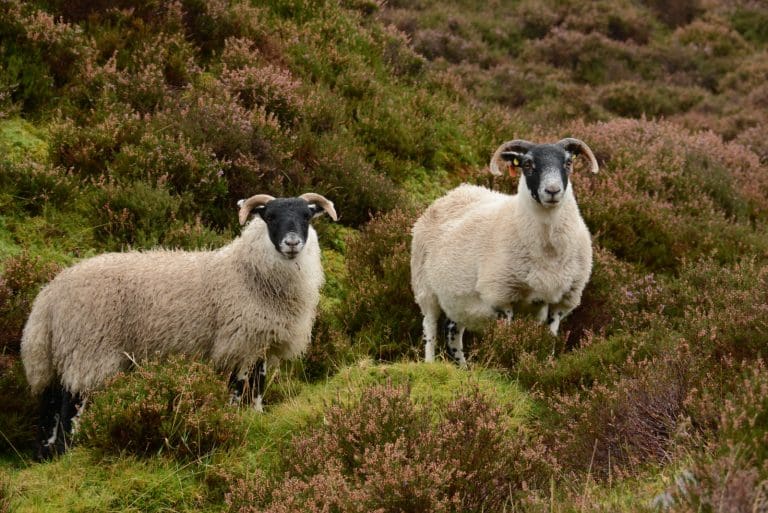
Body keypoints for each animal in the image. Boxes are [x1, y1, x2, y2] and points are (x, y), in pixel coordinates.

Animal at [21, 192, 337, 459]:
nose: (292, 243)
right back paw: (69, 451)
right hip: (87, 350)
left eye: (307, 216)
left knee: (50, 407)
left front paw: (256, 417)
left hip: (59, 355)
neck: (246, 271)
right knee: (69, 407)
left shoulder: (260, 343)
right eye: (269, 217)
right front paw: (233, 420)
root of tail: (49, 296)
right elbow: (237, 388)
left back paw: (46, 455)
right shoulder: (237, 342)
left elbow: (257, 387)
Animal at [410, 138, 598, 366]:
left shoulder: (559, 302)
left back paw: (463, 368)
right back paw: (430, 363)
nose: (552, 190)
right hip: (424, 288)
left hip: (459, 300)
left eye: (568, 162)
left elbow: (548, 339)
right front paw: (505, 364)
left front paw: (544, 365)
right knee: (430, 328)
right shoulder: (501, 296)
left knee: (452, 331)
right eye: (527, 164)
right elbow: (507, 338)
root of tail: (455, 192)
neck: (548, 250)